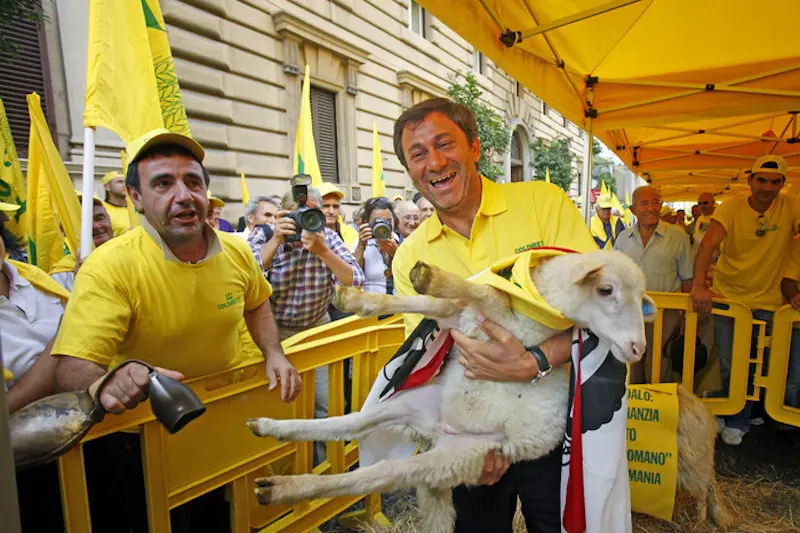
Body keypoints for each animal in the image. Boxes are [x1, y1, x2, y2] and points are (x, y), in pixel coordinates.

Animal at [250, 250, 732, 532]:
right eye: (606, 289)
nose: (637, 349)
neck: (534, 309)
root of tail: (439, 431)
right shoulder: (463, 319)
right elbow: (449, 298)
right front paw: (364, 297)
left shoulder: (491, 321)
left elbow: (476, 293)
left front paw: (424, 278)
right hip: (410, 404)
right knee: (347, 424)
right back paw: (268, 426)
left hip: (458, 456)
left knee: (376, 473)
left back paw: (279, 488)